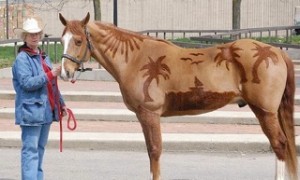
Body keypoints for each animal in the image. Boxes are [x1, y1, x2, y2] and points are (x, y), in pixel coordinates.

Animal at [58, 13, 298, 180]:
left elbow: (154, 151)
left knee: (279, 144)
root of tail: (276, 52)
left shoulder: (149, 114)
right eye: (62, 40)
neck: (135, 58)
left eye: (78, 41)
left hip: (264, 111)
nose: (64, 72)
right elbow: (151, 151)